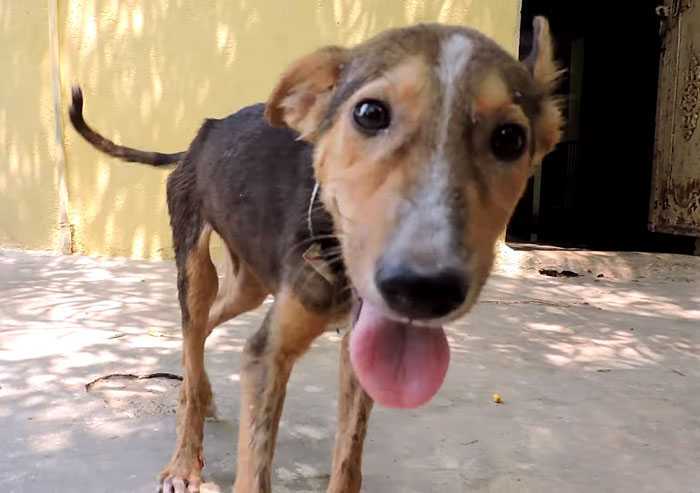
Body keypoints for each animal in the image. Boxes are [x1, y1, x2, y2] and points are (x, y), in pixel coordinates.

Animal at [68, 18, 564, 492]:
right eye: (369, 113)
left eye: (510, 138)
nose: (423, 290)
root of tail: (203, 132)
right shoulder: (268, 355)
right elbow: (255, 473)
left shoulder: (359, 352)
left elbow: (348, 461)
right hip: (195, 261)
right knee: (193, 330)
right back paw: (184, 461)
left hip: (249, 282)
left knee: (204, 329)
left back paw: (202, 391)